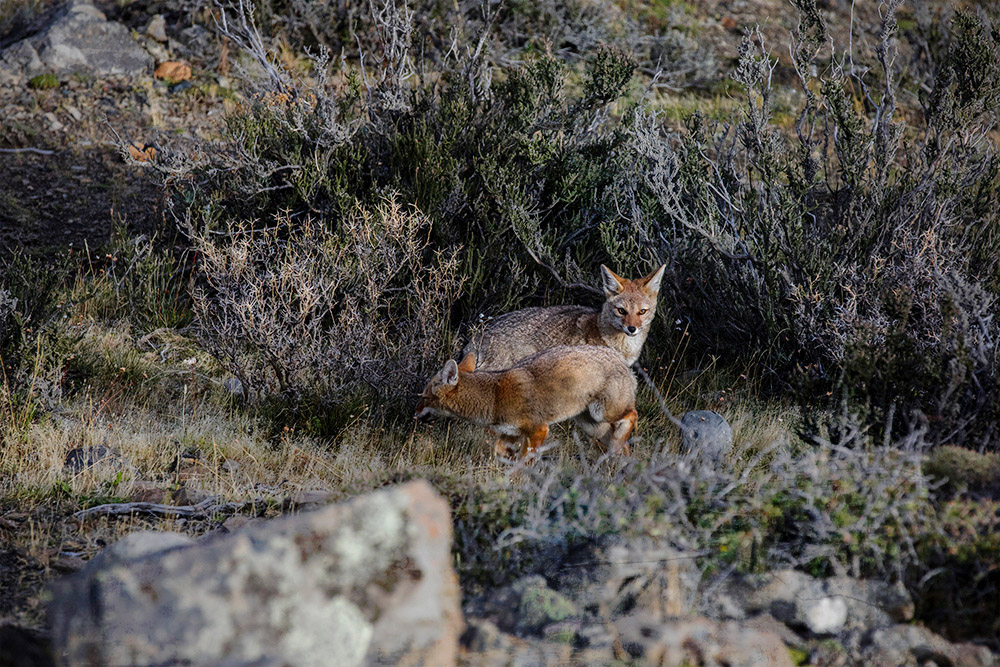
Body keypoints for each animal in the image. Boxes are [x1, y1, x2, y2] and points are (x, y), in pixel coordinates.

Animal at [414, 346, 638, 459]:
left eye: (423, 398)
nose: (414, 415)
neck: (494, 397)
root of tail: (617, 355)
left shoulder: (539, 430)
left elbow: (522, 464)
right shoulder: (510, 433)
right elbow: (501, 453)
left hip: (604, 413)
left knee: (631, 415)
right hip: (592, 426)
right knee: (623, 448)